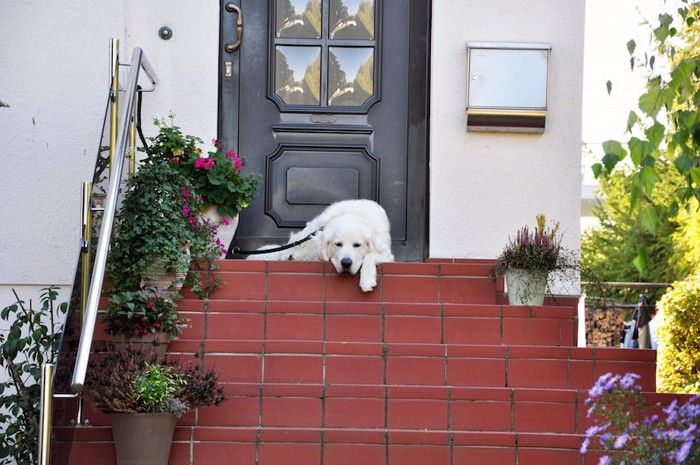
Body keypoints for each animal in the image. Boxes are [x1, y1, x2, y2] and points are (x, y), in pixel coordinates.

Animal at [250, 198, 396, 292]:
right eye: (338, 244)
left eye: (357, 245)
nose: (346, 263)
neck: (352, 216)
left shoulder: (386, 253)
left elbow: (370, 256)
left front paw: (366, 280)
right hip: (311, 231)